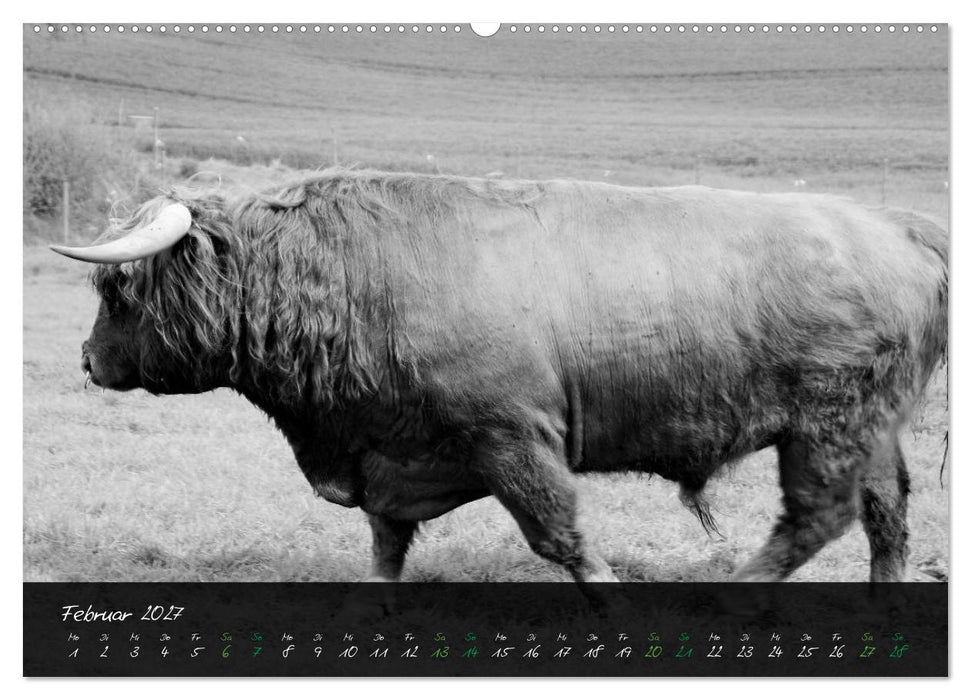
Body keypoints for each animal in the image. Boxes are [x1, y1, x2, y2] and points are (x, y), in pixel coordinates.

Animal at [51, 169, 948, 585]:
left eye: (116, 289)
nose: (88, 359)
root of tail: (894, 225)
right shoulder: (392, 456)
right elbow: (386, 544)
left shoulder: (512, 441)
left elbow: (561, 538)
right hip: (869, 431)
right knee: (886, 514)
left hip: (824, 429)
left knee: (818, 517)